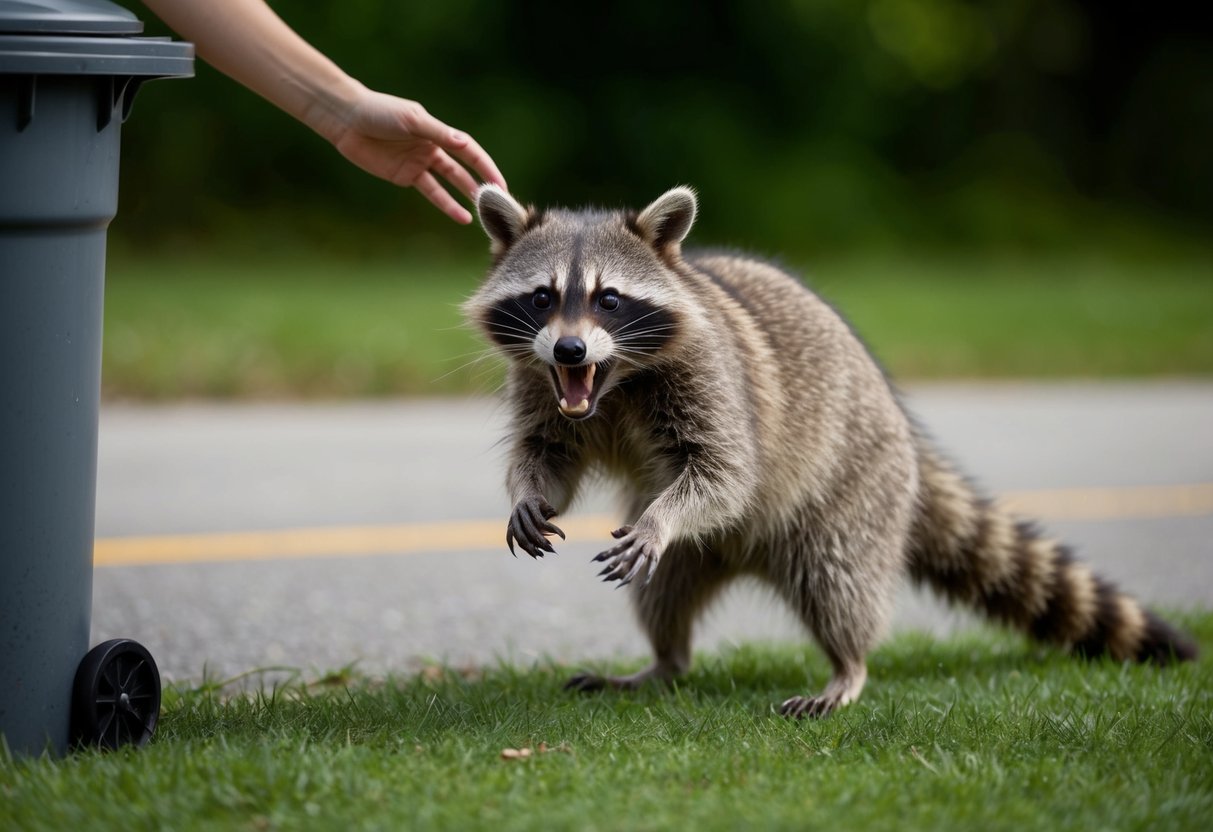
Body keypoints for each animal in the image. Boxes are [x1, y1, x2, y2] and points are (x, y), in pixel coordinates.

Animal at [463, 185, 1197, 717]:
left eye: (609, 299)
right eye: (542, 297)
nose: (569, 350)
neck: (613, 383)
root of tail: (902, 427)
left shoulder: (712, 379)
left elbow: (725, 472)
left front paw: (663, 517)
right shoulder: (542, 385)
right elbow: (548, 454)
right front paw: (529, 492)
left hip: (853, 491)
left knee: (838, 582)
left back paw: (848, 665)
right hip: (706, 552)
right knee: (662, 595)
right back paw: (664, 660)